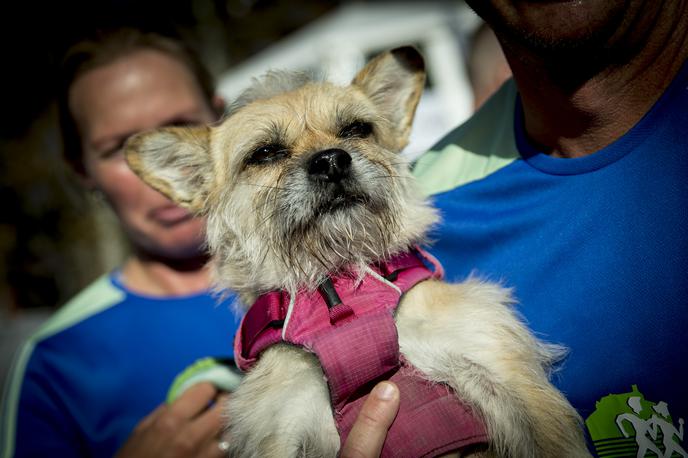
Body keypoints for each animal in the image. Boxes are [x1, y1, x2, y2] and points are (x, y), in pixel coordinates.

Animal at [126, 48, 588, 456]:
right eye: (264, 153)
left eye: (356, 129)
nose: (332, 161)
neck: (340, 289)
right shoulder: (283, 427)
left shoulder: (504, 374)